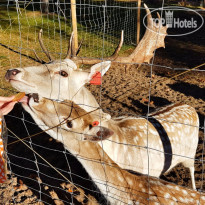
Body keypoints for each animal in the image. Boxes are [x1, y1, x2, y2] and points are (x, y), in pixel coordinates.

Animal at [20, 95, 203, 204]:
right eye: (64, 101)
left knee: (193, 169)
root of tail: (189, 105)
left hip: (191, 154)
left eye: (69, 123)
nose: (34, 97)